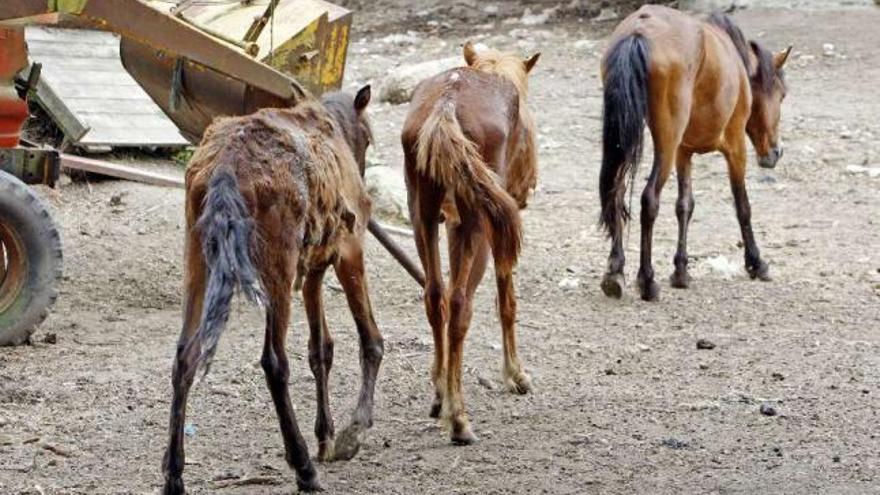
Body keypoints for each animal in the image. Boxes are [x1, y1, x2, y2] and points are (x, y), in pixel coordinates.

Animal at [162, 87, 382, 494]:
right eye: (370, 138)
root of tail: (225, 168)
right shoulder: (349, 249)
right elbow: (370, 341)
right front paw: (352, 432)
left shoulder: (313, 266)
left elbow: (320, 349)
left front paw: (326, 435)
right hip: (277, 262)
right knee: (274, 361)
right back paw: (303, 468)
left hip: (197, 254)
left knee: (186, 355)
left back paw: (174, 475)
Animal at [402, 42, 540, 446]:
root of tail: (447, 104)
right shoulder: (507, 214)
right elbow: (506, 299)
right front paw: (516, 374)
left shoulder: (450, 222)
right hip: (478, 218)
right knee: (460, 302)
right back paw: (460, 420)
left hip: (423, 212)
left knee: (435, 295)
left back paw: (441, 398)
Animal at [600, 5, 792, 302]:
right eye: (781, 94)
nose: (776, 151)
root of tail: (639, 31)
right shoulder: (735, 146)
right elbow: (742, 206)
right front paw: (756, 263)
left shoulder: (684, 152)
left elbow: (685, 205)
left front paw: (680, 270)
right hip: (666, 145)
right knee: (649, 199)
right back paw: (647, 281)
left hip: (627, 137)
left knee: (616, 193)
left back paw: (615, 273)